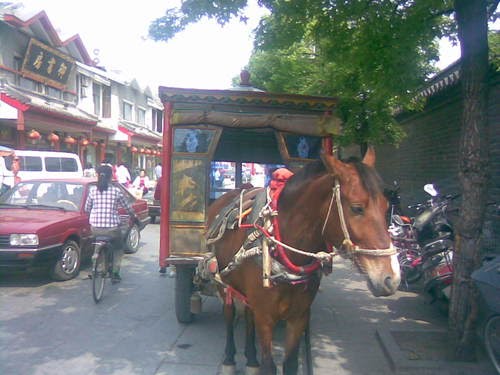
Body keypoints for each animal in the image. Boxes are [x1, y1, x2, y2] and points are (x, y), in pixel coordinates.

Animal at [205, 147, 400, 375]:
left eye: (386, 207)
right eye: (357, 208)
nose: (391, 278)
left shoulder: (299, 317)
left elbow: (290, 364)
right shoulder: (266, 317)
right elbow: (269, 366)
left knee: (248, 314)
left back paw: (252, 360)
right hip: (222, 280)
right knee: (229, 314)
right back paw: (229, 360)